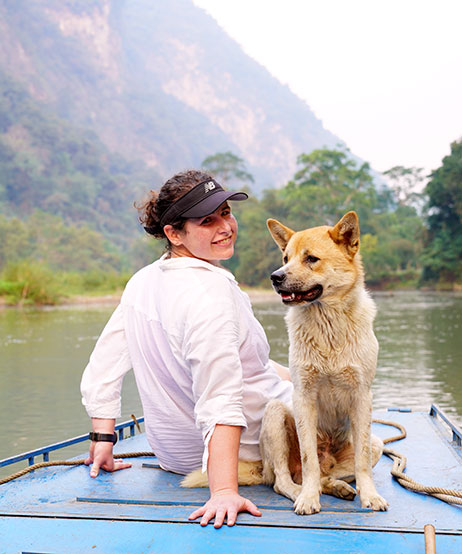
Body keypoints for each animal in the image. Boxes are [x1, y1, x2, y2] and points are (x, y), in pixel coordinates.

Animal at [182, 210, 388, 512]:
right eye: (285, 258)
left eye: (311, 258)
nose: (275, 277)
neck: (328, 328)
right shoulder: (303, 396)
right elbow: (308, 458)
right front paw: (308, 499)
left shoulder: (362, 396)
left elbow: (361, 463)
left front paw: (370, 496)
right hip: (276, 414)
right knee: (285, 480)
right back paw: (303, 491)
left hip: (376, 444)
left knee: (327, 473)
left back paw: (337, 487)